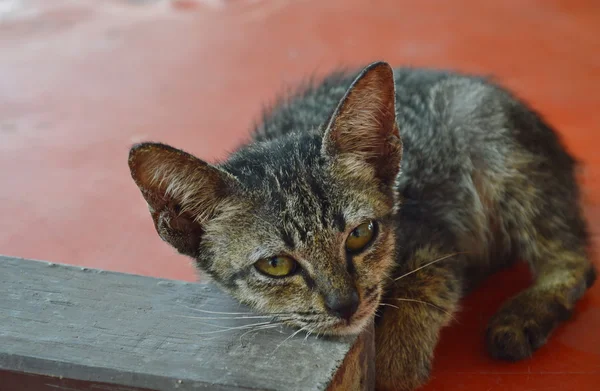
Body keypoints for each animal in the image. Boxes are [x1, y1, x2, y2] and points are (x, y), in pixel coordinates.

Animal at [126, 62, 596, 391]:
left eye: (360, 234)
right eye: (276, 265)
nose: (345, 304)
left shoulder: (434, 234)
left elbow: (421, 291)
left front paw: (394, 363)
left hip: (488, 134)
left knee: (575, 259)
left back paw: (523, 316)